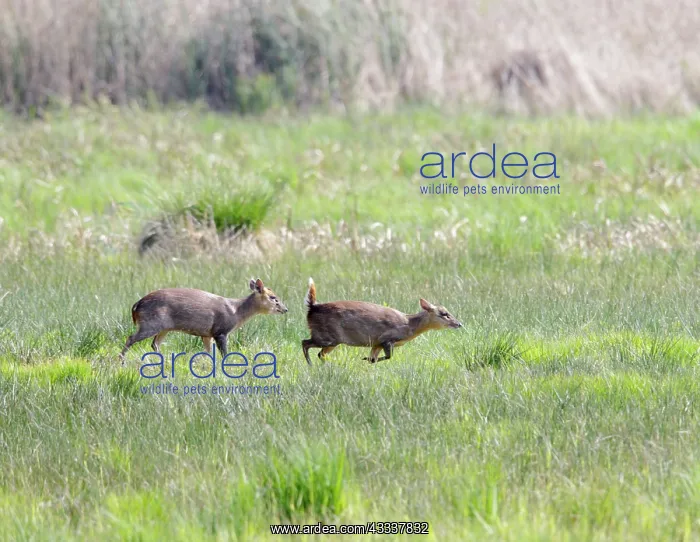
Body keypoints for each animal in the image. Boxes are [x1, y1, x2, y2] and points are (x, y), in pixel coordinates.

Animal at [119, 278, 287, 364]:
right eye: (274, 297)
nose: (285, 309)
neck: (236, 312)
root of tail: (136, 305)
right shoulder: (221, 331)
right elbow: (224, 352)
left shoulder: (207, 334)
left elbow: (209, 352)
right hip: (151, 323)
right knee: (131, 338)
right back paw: (121, 360)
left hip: (163, 327)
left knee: (154, 344)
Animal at [301, 278, 462, 364]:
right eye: (444, 314)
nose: (459, 323)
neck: (410, 326)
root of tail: (313, 307)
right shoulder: (387, 338)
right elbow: (389, 356)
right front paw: (365, 358)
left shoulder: (376, 343)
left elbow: (374, 359)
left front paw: (366, 359)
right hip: (327, 337)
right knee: (305, 343)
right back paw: (310, 364)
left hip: (332, 340)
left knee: (320, 353)